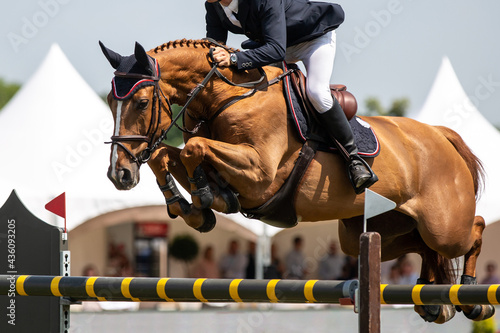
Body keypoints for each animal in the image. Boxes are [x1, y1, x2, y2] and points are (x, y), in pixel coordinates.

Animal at [100, 39, 492, 322]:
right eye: (109, 102)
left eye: (141, 102)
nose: (119, 175)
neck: (227, 96)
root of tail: (440, 135)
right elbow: (168, 155)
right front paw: (191, 206)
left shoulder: (259, 174)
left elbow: (194, 148)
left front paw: (206, 199)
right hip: (373, 229)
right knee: (420, 246)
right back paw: (434, 299)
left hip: (443, 225)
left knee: (473, 227)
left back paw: (473, 298)